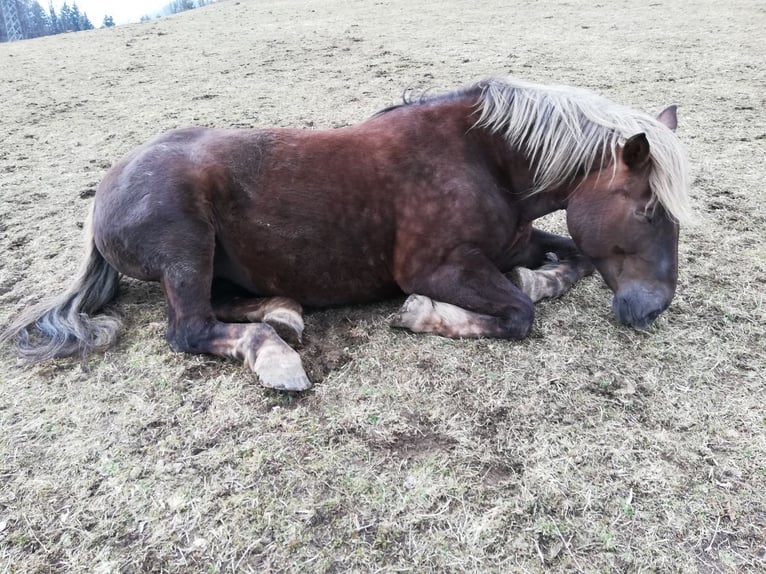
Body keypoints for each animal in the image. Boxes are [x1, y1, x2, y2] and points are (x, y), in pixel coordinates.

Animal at [1, 77, 696, 392]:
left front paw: (541, 275)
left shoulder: (516, 241)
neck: (482, 159)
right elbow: (518, 312)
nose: (653, 308)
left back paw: (283, 313)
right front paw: (423, 314)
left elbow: (570, 257)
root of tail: (105, 192)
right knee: (190, 329)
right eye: (647, 210)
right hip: (186, 250)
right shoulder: (437, 268)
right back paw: (275, 354)